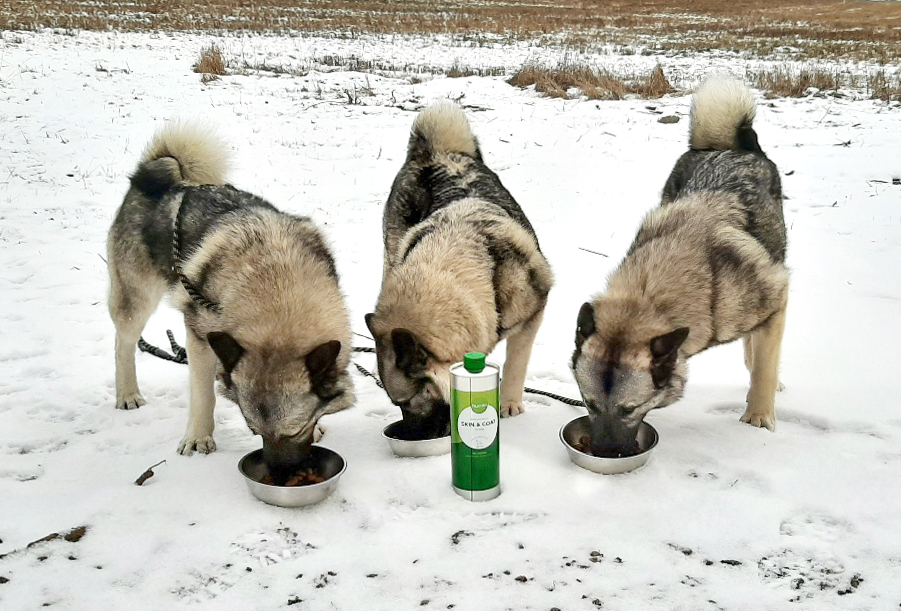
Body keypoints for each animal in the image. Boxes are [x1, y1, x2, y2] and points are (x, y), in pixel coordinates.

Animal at [107, 120, 354, 474]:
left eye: (295, 431)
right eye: (254, 431)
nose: (279, 474)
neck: (277, 289)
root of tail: (151, 176)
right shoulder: (198, 333)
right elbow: (203, 395)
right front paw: (198, 438)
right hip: (136, 300)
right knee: (123, 343)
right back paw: (127, 393)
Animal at [364, 103, 548, 438]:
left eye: (407, 401)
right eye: (397, 404)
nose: (406, 434)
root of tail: (435, 152)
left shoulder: (533, 314)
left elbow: (516, 362)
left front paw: (508, 403)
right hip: (392, 252)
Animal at [572, 76, 784, 454]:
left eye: (630, 409)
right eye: (589, 404)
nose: (606, 454)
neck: (649, 294)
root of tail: (730, 146)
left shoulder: (778, 293)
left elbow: (764, 369)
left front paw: (758, 416)